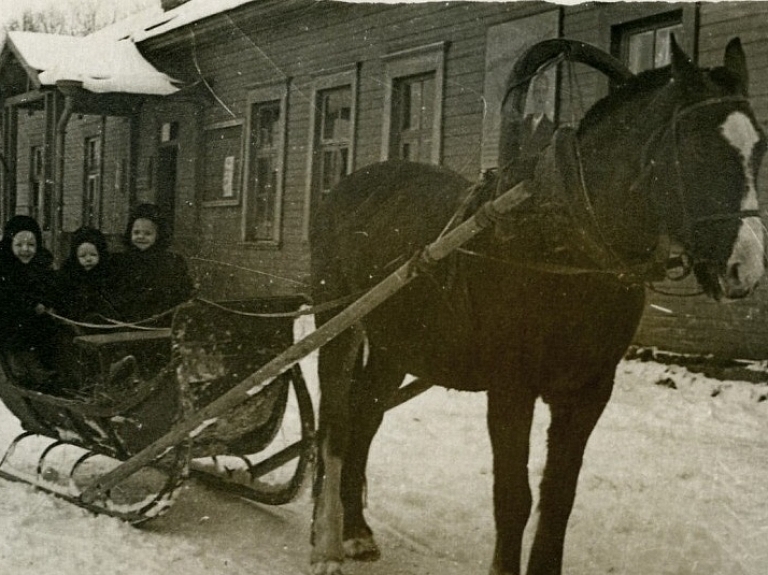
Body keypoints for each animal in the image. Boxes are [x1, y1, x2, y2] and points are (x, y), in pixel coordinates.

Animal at [308, 37, 764, 575]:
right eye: (694, 147)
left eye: (757, 147)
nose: (746, 267)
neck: (564, 233)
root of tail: (344, 186)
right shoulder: (512, 387)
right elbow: (513, 496)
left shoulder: (589, 391)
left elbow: (558, 497)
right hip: (337, 325)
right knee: (335, 424)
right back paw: (328, 542)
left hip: (394, 345)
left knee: (365, 417)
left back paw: (355, 529)